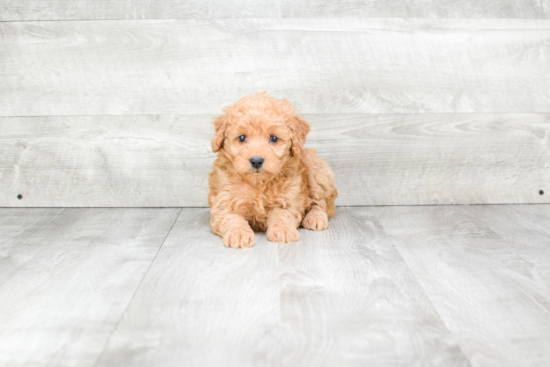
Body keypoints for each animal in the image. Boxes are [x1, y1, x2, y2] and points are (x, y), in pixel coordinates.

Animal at [208, 92, 336, 249]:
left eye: (274, 138)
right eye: (242, 137)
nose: (256, 160)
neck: (259, 183)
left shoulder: (288, 200)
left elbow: (282, 215)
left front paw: (283, 230)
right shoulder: (225, 201)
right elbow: (232, 219)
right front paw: (239, 234)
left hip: (315, 168)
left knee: (320, 202)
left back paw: (315, 218)